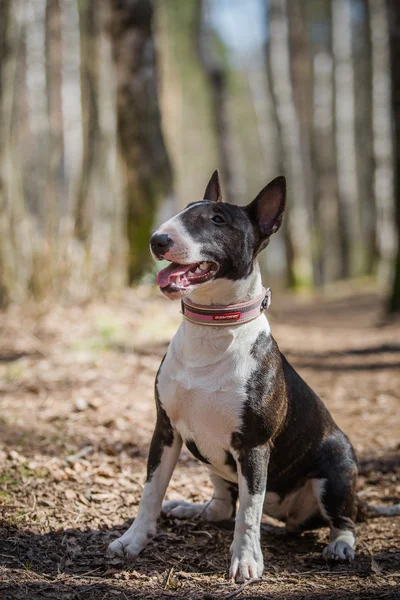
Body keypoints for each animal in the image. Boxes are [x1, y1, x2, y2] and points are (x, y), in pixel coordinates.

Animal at [108, 172, 398, 580]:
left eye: (218, 220)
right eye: (185, 210)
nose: (157, 240)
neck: (212, 330)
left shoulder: (254, 445)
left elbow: (249, 511)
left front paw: (245, 561)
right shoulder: (165, 429)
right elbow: (150, 491)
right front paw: (132, 541)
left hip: (337, 463)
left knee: (344, 519)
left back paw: (339, 546)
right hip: (210, 459)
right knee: (222, 504)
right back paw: (191, 508)